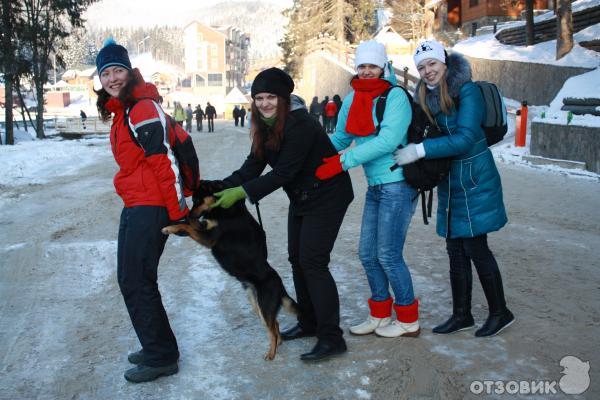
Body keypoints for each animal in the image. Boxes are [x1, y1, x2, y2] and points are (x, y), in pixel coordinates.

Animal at [162, 180, 298, 360]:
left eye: (198, 200)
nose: (189, 213)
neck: (222, 208)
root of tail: (280, 285)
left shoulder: (209, 238)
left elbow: (187, 227)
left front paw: (171, 227)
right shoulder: (204, 227)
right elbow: (189, 225)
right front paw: (173, 225)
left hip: (264, 305)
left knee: (272, 330)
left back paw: (271, 353)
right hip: (257, 305)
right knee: (274, 324)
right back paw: (279, 343)